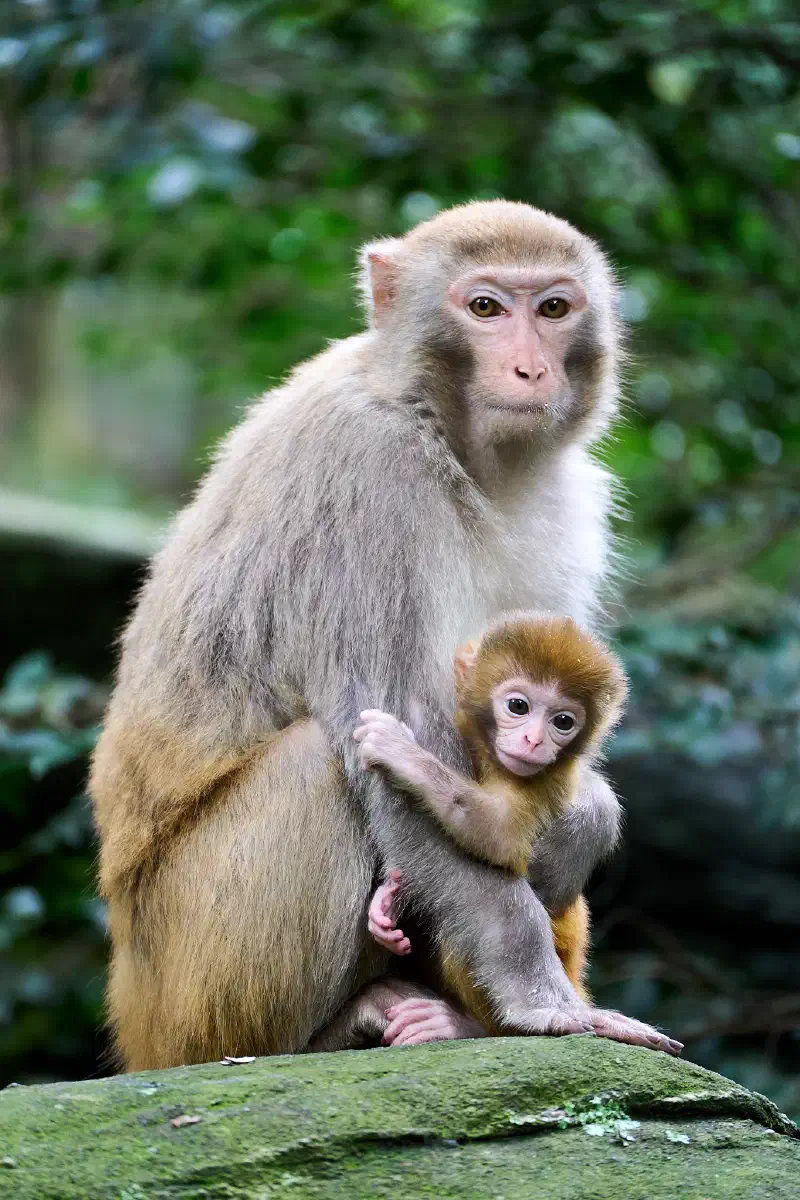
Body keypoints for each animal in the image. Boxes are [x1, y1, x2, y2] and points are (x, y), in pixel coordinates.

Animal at [354, 614, 629, 1044]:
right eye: (518, 706)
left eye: (563, 722)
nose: (533, 740)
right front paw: (388, 904)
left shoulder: (543, 780)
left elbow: (499, 835)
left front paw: (404, 754)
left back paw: (464, 1024)